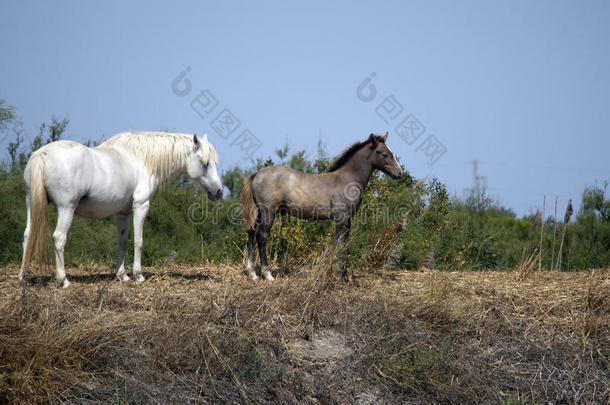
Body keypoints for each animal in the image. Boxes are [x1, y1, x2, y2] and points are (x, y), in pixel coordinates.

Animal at [18, 131, 223, 286]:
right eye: (205, 163)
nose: (218, 192)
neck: (141, 159)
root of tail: (41, 155)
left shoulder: (123, 213)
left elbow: (122, 242)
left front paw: (122, 275)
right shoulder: (141, 205)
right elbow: (139, 241)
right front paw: (138, 275)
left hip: (31, 203)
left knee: (28, 235)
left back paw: (22, 277)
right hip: (66, 208)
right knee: (59, 238)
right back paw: (63, 280)